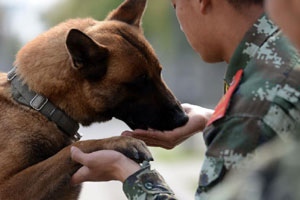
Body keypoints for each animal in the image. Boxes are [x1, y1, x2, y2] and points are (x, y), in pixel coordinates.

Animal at [0, 0, 189, 199]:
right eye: (140, 82)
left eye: (159, 73)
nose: (183, 118)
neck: (40, 106)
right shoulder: (7, 187)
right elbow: (75, 147)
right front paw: (119, 142)